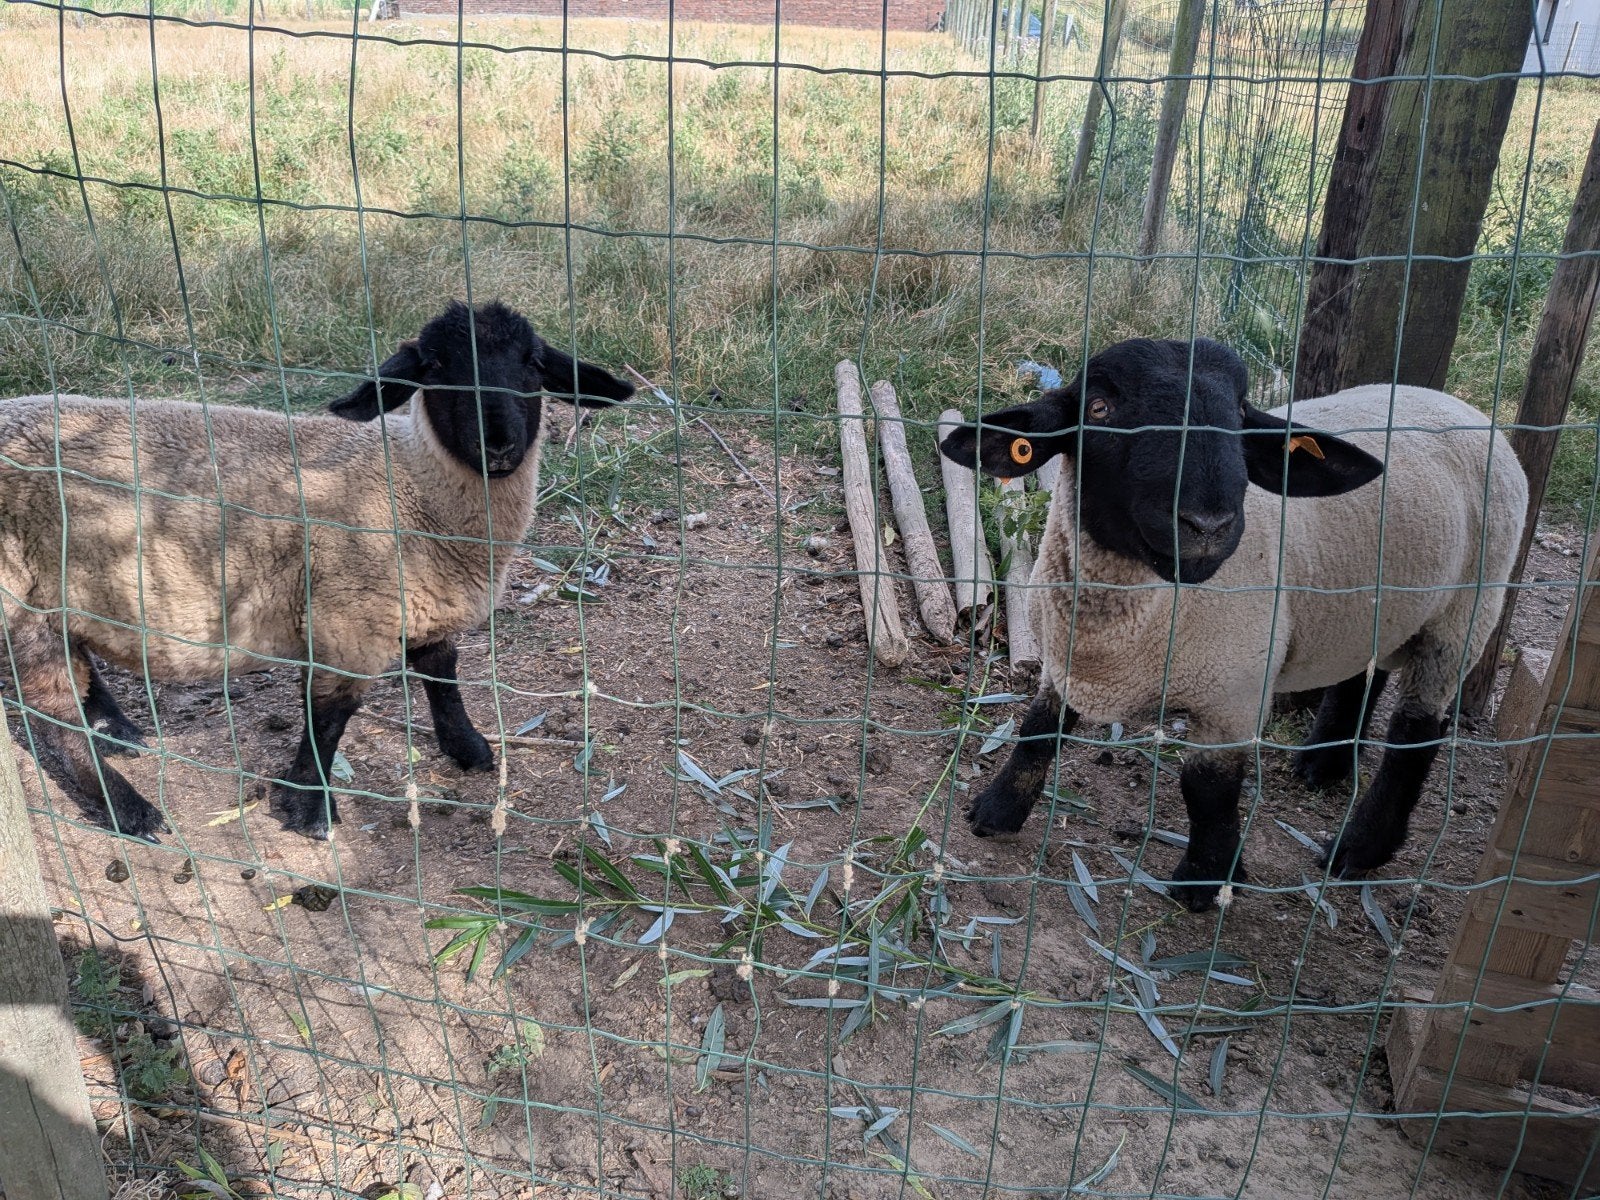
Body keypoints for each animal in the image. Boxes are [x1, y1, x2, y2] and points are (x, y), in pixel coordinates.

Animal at [0, 300, 634, 841]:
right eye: (435, 367)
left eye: (534, 364)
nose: (499, 445)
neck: (409, 486)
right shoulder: (346, 621)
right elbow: (329, 717)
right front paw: (310, 805)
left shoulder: (421, 601)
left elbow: (441, 671)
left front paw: (468, 748)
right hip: (21, 597)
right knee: (50, 713)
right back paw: (126, 808)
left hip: (64, 592)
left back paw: (115, 732)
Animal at [939, 338, 1528, 912]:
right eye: (1099, 409)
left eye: (1240, 416)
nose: (1208, 524)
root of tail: (1461, 405)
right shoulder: (1063, 658)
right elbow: (1038, 728)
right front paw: (995, 812)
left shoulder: (1234, 695)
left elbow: (1205, 788)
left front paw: (1206, 880)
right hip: (1377, 602)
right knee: (1365, 669)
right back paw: (1324, 764)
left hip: (1466, 611)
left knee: (1416, 731)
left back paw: (1359, 848)